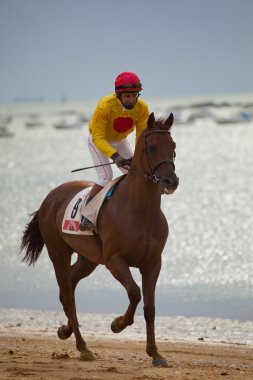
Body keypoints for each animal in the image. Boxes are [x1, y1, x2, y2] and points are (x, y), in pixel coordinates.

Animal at [20, 111, 178, 366]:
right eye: (152, 147)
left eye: (173, 146)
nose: (170, 182)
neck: (139, 210)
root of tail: (51, 196)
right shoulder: (114, 260)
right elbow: (135, 293)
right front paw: (117, 324)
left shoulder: (153, 263)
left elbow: (150, 307)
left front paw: (155, 354)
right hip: (58, 252)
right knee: (67, 293)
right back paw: (83, 347)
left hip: (88, 259)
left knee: (70, 285)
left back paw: (65, 330)